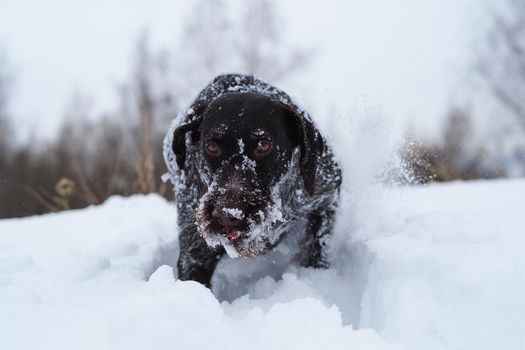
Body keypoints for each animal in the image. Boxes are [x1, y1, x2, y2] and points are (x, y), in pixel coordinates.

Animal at [164, 74, 342, 288]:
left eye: (264, 145)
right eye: (212, 146)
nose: (227, 215)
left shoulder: (326, 198)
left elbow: (318, 247)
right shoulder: (195, 254)